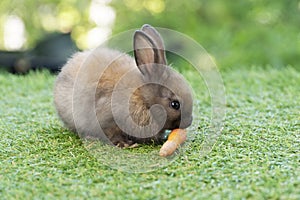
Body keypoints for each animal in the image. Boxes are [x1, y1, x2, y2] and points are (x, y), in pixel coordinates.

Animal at [54, 24, 193, 147]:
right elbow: (112, 133)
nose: (188, 122)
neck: (142, 98)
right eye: (175, 104)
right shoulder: (108, 119)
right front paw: (125, 144)